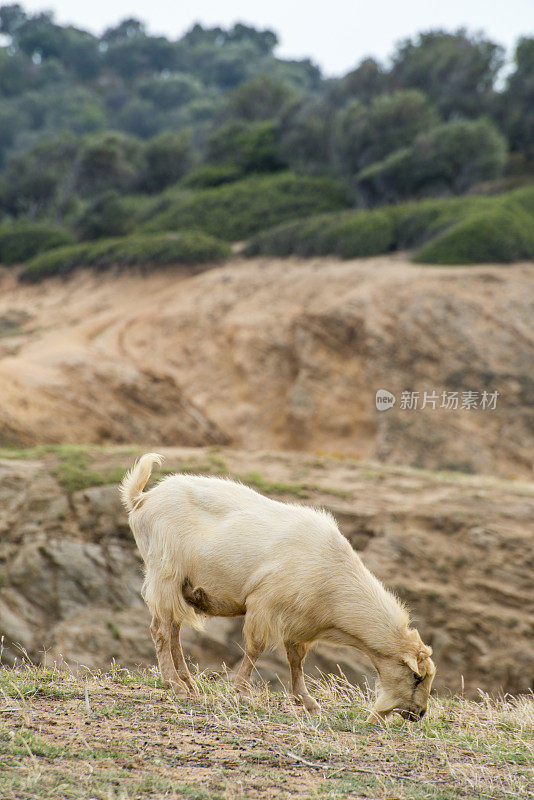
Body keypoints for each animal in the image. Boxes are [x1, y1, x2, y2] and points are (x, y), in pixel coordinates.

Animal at [120, 454, 436, 720]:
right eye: (417, 676)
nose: (418, 714)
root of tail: (142, 498)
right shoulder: (264, 604)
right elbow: (256, 648)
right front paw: (242, 691)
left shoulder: (300, 624)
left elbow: (296, 661)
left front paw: (307, 701)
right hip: (165, 573)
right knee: (160, 630)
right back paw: (174, 684)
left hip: (180, 587)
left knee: (173, 630)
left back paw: (188, 683)